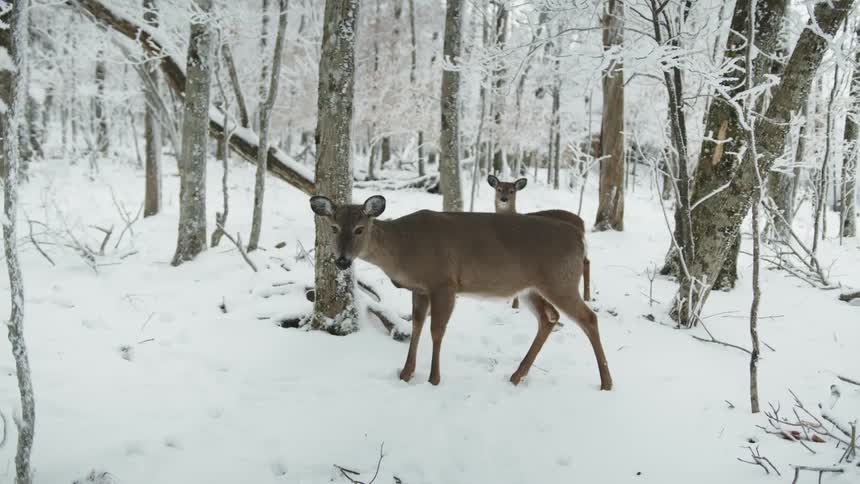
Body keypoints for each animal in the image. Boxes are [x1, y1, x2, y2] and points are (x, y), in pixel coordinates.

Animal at [309, 194, 612, 391]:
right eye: (334, 227)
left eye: (360, 229)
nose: (342, 260)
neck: (403, 248)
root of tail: (579, 236)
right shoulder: (421, 288)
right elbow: (416, 325)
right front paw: (405, 373)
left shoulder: (445, 282)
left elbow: (436, 330)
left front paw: (433, 379)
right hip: (532, 288)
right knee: (549, 318)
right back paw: (516, 376)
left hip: (560, 280)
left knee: (588, 318)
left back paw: (606, 382)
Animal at [487, 175, 591, 305]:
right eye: (499, 189)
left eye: (512, 191)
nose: (504, 199)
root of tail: (581, 222)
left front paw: (515, 305)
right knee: (587, 262)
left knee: (586, 264)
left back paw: (587, 297)